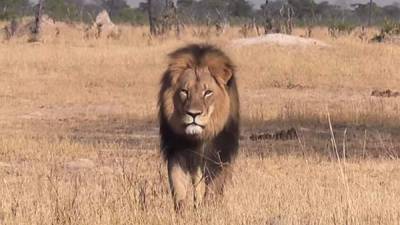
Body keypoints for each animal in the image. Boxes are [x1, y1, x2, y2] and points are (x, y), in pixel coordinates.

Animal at [159, 44, 241, 211]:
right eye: (184, 91)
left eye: (207, 92)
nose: (193, 114)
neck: (198, 138)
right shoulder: (177, 152)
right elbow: (178, 187)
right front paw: (182, 211)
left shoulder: (218, 155)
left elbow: (213, 188)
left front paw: (208, 209)